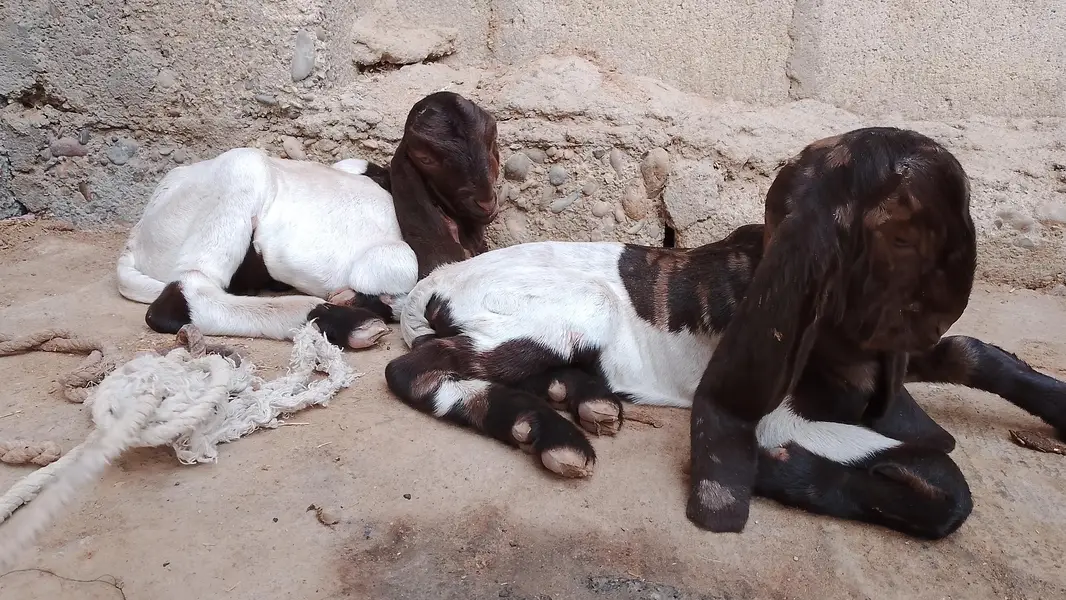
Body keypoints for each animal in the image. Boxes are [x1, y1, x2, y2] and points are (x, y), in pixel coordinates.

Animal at [115, 91, 500, 349]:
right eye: (425, 157)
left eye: (491, 140)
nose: (486, 202)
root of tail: (137, 236)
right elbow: (398, 268)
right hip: (241, 171)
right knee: (184, 294)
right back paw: (348, 323)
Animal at [383, 128, 1066, 540]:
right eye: (909, 229)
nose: (947, 305)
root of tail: (435, 279)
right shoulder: (785, 411)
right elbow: (944, 480)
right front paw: (781, 471)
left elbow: (976, 355)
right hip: (568, 310)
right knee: (414, 369)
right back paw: (546, 429)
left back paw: (585, 401)